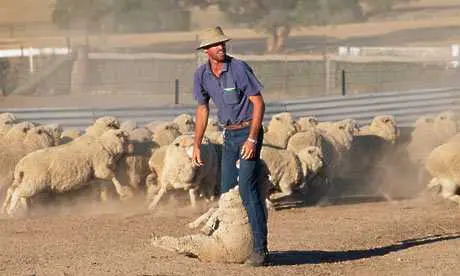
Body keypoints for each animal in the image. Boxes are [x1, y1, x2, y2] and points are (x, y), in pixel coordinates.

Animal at [2, 129, 131, 216]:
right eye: (126, 137)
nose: (132, 149)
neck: (105, 145)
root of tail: (21, 165)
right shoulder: (100, 168)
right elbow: (112, 176)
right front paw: (123, 192)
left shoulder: (97, 173)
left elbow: (103, 186)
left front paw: (105, 201)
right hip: (35, 182)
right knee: (18, 192)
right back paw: (11, 211)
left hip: (25, 179)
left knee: (12, 190)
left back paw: (12, 209)